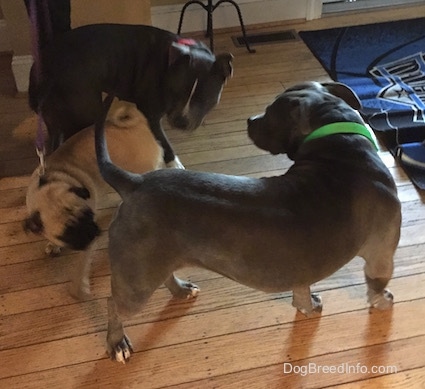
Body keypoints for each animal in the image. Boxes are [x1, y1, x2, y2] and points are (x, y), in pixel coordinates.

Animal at [30, 22, 234, 165]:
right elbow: (163, 141)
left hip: (53, 116)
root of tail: (46, 70)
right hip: (84, 110)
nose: (180, 121)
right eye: (174, 92)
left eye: (204, 97)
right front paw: (174, 163)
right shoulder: (151, 113)